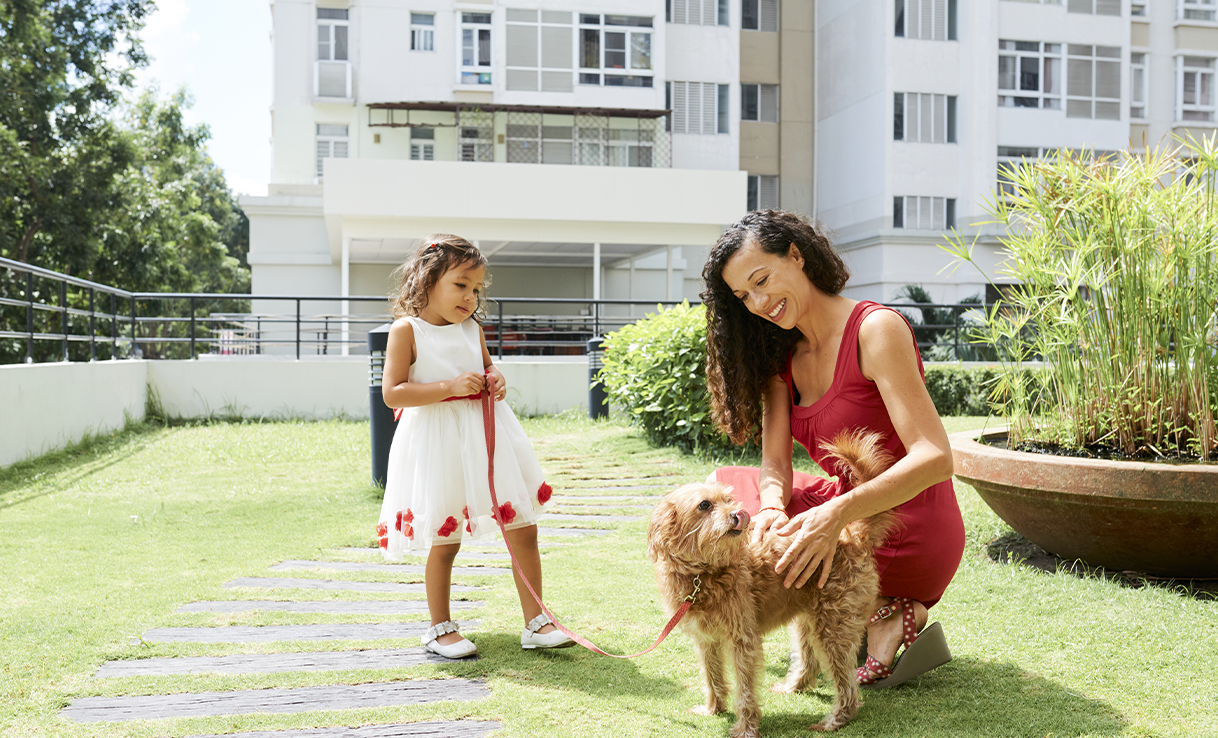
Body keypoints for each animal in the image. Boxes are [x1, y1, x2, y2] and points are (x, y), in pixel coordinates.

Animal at [647, 431, 896, 735]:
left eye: (728, 499)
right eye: (704, 505)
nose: (738, 514)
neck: (704, 573)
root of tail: (853, 534)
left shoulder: (743, 639)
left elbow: (745, 687)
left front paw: (745, 728)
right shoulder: (706, 639)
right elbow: (712, 675)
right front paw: (713, 709)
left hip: (833, 626)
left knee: (847, 684)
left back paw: (836, 720)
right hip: (808, 618)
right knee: (808, 660)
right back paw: (794, 687)